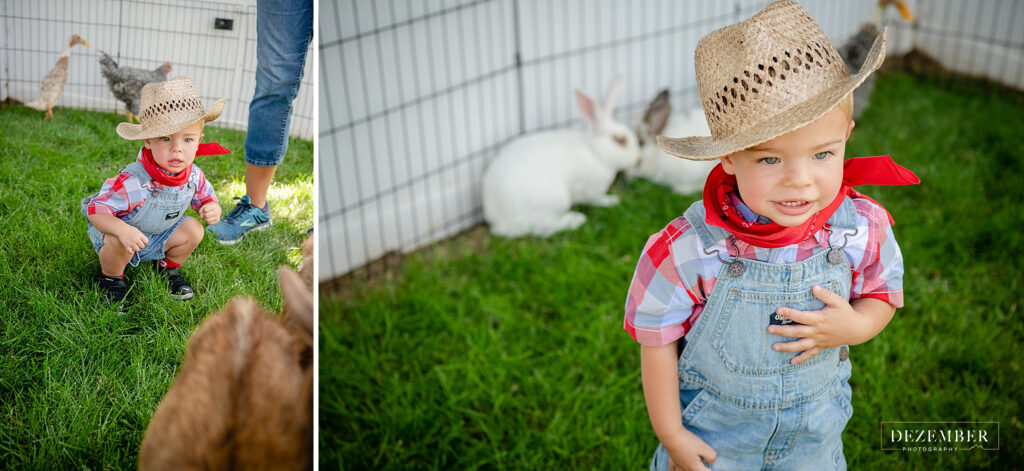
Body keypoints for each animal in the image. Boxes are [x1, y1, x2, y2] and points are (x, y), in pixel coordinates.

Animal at [481, 77, 638, 239]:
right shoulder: (590, 190)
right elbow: (595, 198)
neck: (595, 151)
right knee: (543, 228)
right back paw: (575, 219)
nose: (637, 158)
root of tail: (498, 219)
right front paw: (611, 201)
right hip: (556, 200)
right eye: (620, 140)